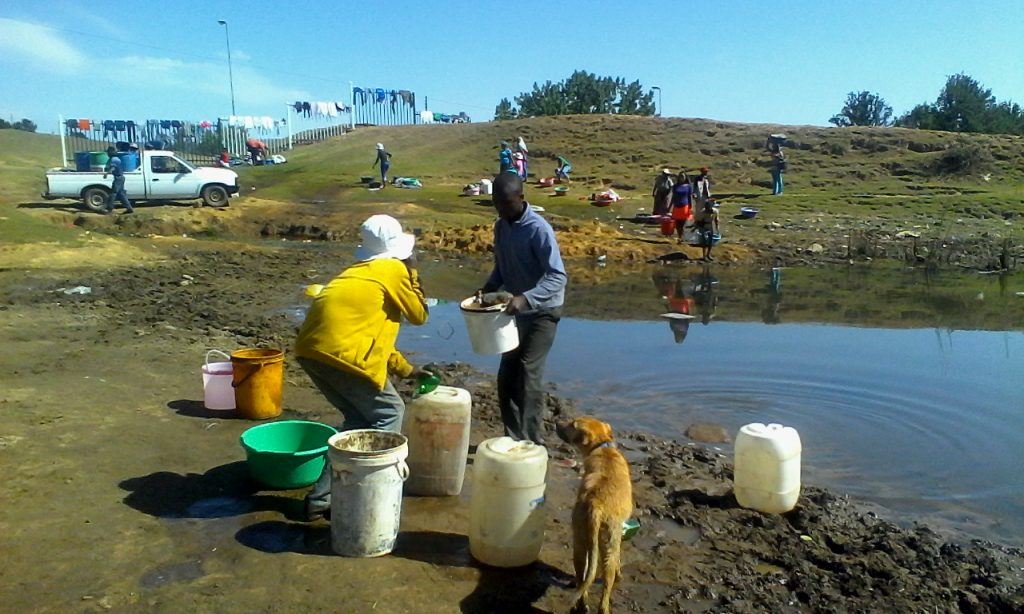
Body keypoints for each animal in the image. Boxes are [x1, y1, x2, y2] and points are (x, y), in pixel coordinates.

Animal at [561, 417, 630, 614]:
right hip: (610, 541)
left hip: (580, 538)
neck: (603, 447)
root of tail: (595, 505)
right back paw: (603, 606)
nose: (557, 424)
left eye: (572, 424)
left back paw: (582, 604)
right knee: (606, 584)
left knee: (582, 574)